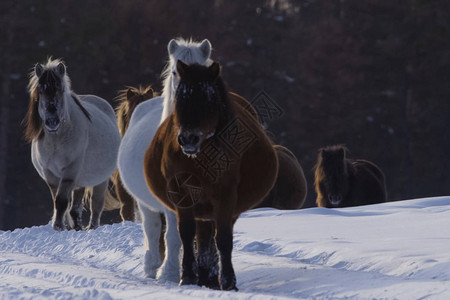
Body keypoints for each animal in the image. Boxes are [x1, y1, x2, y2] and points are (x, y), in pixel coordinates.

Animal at [24, 59, 119, 232]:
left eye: (60, 90)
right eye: (40, 91)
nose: (52, 122)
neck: (56, 141)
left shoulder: (70, 172)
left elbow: (62, 201)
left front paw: (58, 226)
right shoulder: (51, 175)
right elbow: (59, 202)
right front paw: (64, 225)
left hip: (100, 180)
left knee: (96, 204)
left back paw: (92, 226)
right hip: (81, 180)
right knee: (76, 207)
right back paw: (77, 226)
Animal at [118, 38, 213, 282]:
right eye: (175, 72)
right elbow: (173, 237)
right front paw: (170, 273)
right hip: (145, 203)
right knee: (152, 231)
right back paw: (153, 268)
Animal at [144, 61, 278, 290]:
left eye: (208, 101)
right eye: (180, 98)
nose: (188, 139)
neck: (199, 158)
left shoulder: (225, 196)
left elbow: (223, 239)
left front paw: (229, 282)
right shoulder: (182, 194)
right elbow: (187, 234)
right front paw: (188, 277)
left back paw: (211, 278)